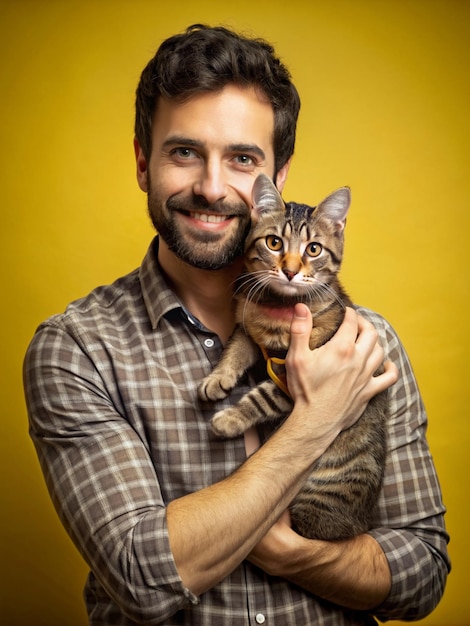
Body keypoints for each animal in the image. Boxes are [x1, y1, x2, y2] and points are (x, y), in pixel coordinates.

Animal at [196, 173, 388, 540]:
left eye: (313, 249)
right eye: (274, 243)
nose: (289, 270)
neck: (279, 309)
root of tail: (364, 519)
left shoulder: (294, 377)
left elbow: (261, 397)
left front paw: (230, 419)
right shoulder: (249, 330)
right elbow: (235, 349)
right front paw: (217, 379)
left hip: (317, 508)